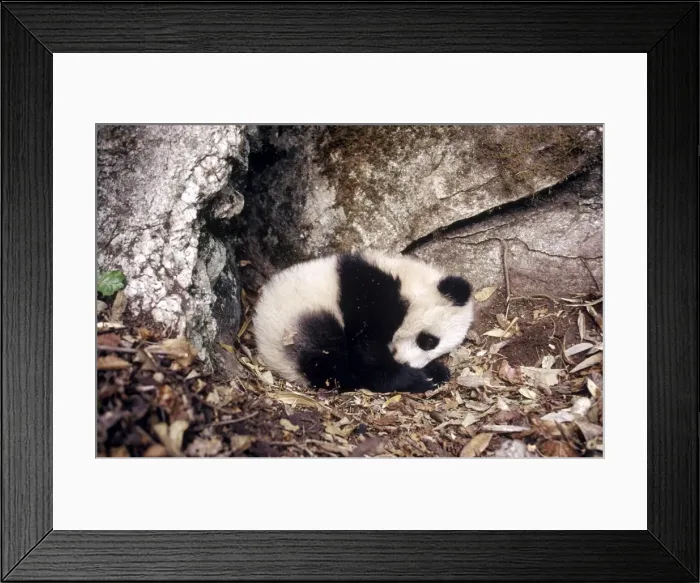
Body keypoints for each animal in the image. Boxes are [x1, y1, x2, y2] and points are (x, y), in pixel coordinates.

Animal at [252, 250, 475, 394]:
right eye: (429, 341)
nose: (408, 363)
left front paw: (434, 370)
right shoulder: (369, 295)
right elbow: (366, 349)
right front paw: (418, 377)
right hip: (297, 324)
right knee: (328, 358)